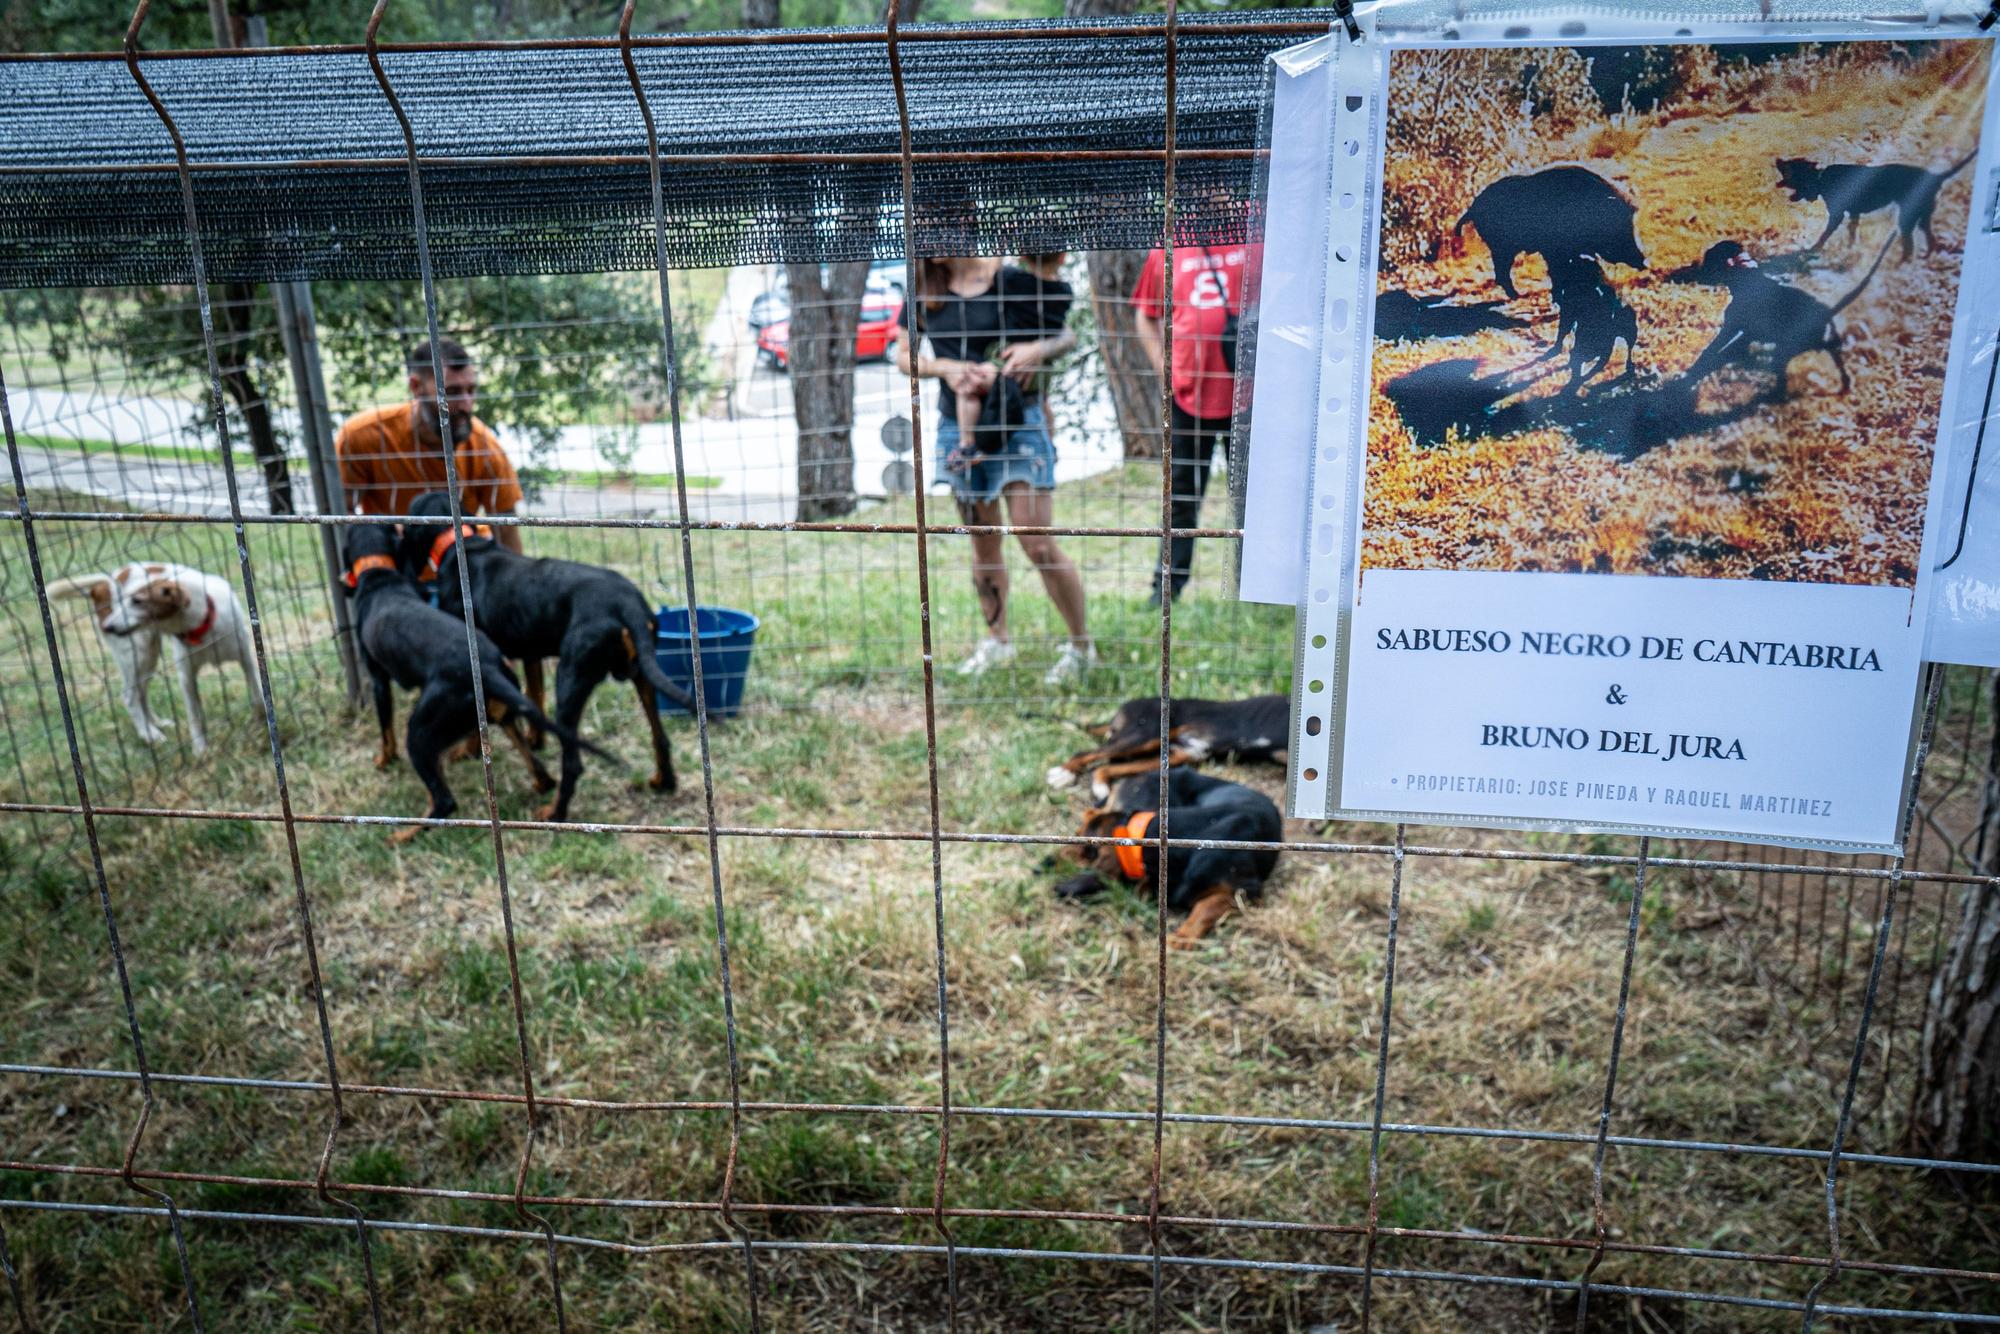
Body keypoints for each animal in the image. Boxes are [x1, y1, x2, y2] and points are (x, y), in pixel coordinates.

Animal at [46, 560, 266, 756]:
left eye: (137, 601)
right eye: (119, 603)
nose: (108, 626)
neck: (202, 629)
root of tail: (104, 583)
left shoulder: (247, 658)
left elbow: (258, 696)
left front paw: (260, 721)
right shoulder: (186, 677)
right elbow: (194, 716)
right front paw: (200, 750)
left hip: (148, 655)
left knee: (141, 692)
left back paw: (156, 723)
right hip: (136, 653)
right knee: (129, 696)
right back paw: (149, 733)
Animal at [340, 524, 600, 844]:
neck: (380, 576)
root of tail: (489, 668)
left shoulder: (378, 680)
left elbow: (386, 729)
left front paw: (384, 759)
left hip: (421, 734)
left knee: (444, 801)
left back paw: (403, 834)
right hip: (500, 715)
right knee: (540, 771)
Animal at [398, 494, 696, 824]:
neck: (459, 543)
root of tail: (626, 602)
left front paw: (470, 750)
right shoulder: (530, 653)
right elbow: (531, 697)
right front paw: (532, 740)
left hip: (570, 679)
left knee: (573, 762)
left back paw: (555, 813)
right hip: (642, 674)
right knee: (660, 737)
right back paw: (663, 781)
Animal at [1048, 696, 1296, 800]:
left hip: (1178, 755)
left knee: (1104, 767)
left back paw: (1100, 785)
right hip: (1144, 735)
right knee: (1086, 754)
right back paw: (1063, 773)